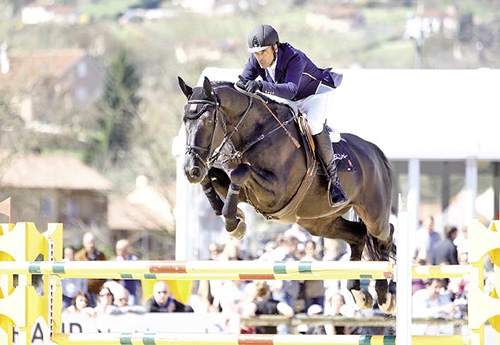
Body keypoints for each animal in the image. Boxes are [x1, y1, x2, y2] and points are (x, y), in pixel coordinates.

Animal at [178, 76, 396, 314]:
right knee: (358, 235)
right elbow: (214, 177)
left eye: (209, 121)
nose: (190, 170)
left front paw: (234, 225)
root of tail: (374, 151)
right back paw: (358, 292)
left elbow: (240, 172)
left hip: (373, 213)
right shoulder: (245, 191)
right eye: (185, 120)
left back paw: (385, 297)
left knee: (384, 236)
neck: (253, 133)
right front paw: (234, 216)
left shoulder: (275, 192)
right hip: (318, 222)